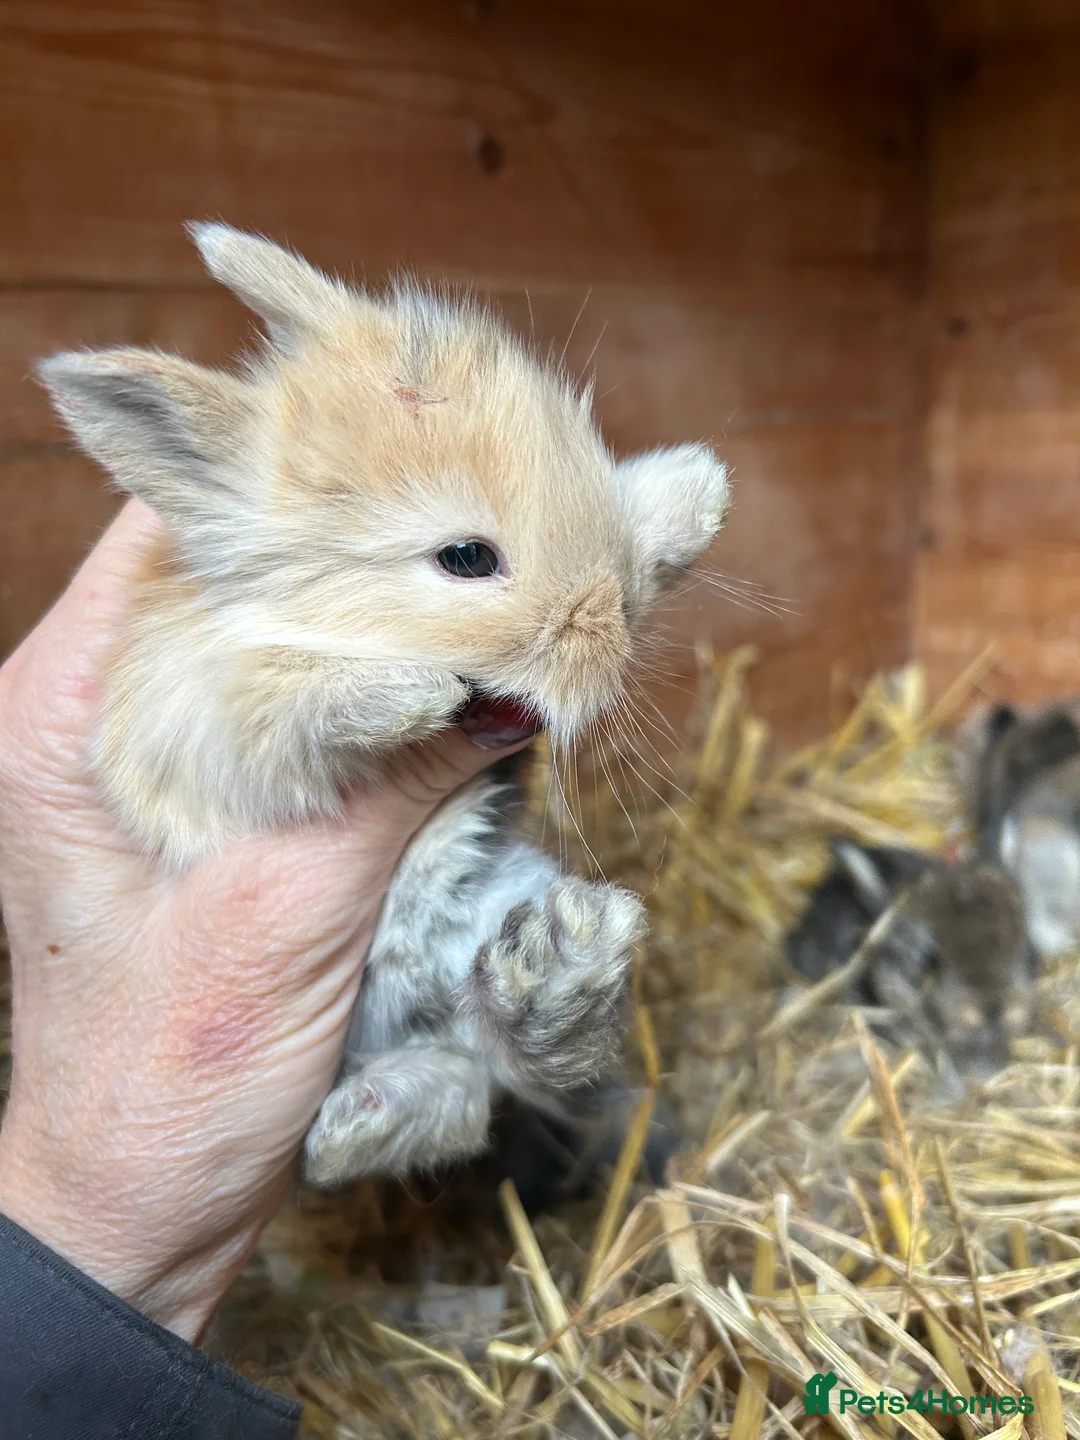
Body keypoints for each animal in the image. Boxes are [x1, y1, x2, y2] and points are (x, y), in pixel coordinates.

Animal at [36, 222, 729, 1188]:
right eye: (467, 558)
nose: (611, 628)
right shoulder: (205, 714)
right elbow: (293, 704)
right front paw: (412, 696)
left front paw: (697, 489)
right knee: (460, 1090)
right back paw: (361, 1123)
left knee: (497, 1065)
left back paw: (559, 966)